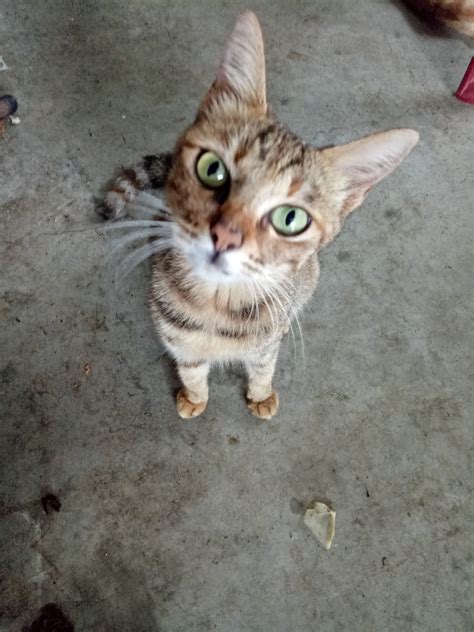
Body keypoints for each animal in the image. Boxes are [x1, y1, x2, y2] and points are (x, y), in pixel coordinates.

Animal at [99, 11, 418, 420]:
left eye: (291, 219)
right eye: (212, 169)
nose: (225, 235)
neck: (217, 307)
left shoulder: (267, 340)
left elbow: (264, 364)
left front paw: (260, 394)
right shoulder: (175, 334)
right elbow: (190, 366)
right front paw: (194, 395)